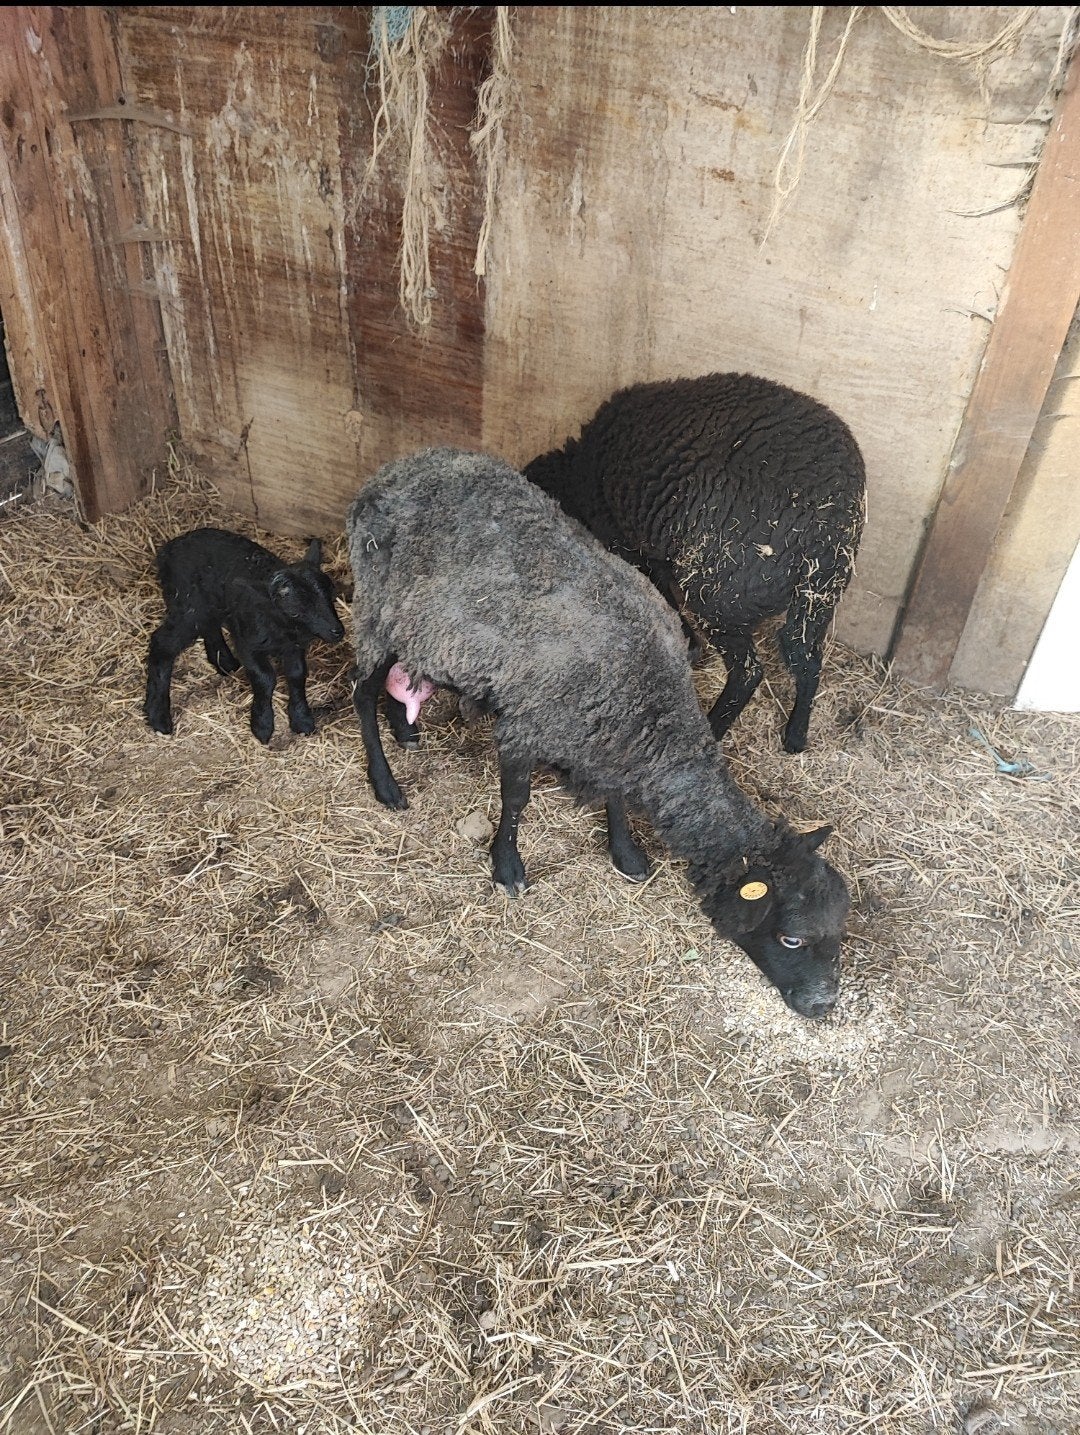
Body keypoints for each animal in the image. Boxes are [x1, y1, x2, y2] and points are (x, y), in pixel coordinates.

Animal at [144, 527, 345, 742]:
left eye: (331, 597)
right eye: (295, 612)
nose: (337, 631)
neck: (282, 628)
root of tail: (166, 551)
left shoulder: (293, 646)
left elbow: (297, 675)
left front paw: (302, 719)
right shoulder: (248, 644)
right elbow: (265, 678)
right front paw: (262, 725)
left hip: (209, 604)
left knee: (210, 625)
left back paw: (224, 661)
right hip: (187, 606)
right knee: (162, 643)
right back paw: (158, 716)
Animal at [346, 448, 850, 1019]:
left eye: (839, 935)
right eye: (791, 938)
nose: (822, 1006)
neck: (647, 702)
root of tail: (404, 464)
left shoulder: (609, 738)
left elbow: (615, 796)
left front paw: (626, 854)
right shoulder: (525, 724)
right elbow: (516, 800)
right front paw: (507, 867)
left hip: (421, 629)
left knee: (404, 671)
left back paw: (405, 731)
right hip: (377, 611)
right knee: (361, 690)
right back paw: (386, 783)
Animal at [523, 373, 866, 753]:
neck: (578, 473)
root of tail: (824, 521)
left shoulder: (627, 542)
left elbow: (656, 588)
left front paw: (688, 645)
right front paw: (689, 646)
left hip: (720, 593)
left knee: (749, 672)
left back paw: (713, 730)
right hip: (820, 595)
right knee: (806, 656)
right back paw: (795, 735)